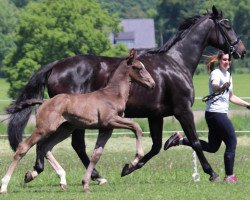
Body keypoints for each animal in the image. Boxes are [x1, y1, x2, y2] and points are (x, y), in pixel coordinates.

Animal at [0, 48, 154, 194]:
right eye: (138, 68)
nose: (152, 84)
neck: (112, 95)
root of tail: (44, 101)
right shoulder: (111, 120)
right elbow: (136, 127)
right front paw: (133, 162)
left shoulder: (106, 128)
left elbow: (96, 155)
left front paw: (86, 184)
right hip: (44, 128)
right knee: (24, 147)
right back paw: (4, 186)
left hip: (64, 130)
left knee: (46, 147)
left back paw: (61, 180)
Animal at [6, 6, 245, 184]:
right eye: (227, 25)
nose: (241, 50)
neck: (176, 63)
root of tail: (56, 65)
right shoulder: (183, 111)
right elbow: (195, 141)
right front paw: (212, 173)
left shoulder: (155, 116)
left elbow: (156, 146)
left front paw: (129, 167)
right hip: (71, 119)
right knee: (70, 145)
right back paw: (92, 176)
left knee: (58, 144)